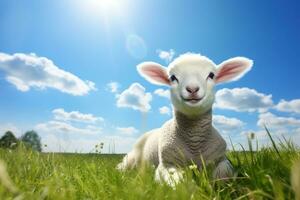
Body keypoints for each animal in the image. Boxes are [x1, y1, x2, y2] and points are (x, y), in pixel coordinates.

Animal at [117, 52, 253, 186]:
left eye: (211, 75)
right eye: (172, 77)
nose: (192, 89)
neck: (194, 144)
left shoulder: (222, 159)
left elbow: (224, 174)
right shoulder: (166, 165)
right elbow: (179, 183)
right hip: (131, 158)